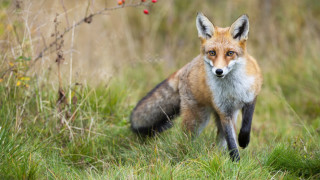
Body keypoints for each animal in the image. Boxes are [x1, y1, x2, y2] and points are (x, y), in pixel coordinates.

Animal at [130, 12, 262, 162]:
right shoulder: (223, 111)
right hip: (197, 119)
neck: (232, 89)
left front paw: (243, 141)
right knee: (186, 140)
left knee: (219, 141)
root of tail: (185, 67)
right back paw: (187, 155)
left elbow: (246, 125)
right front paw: (236, 162)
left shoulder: (251, 97)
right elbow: (231, 142)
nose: (219, 71)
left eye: (230, 53)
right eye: (212, 52)